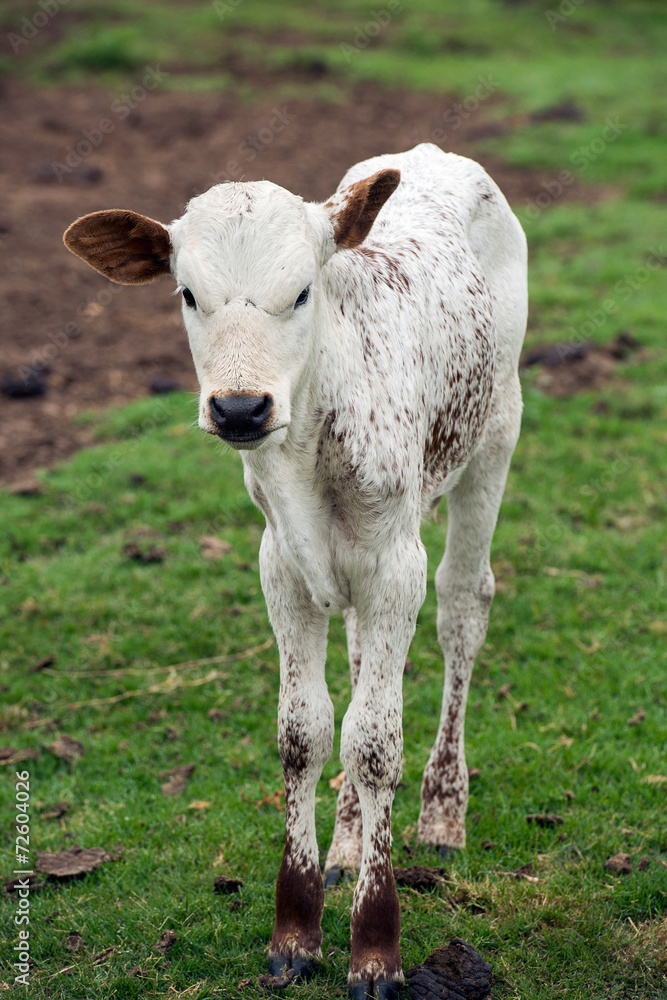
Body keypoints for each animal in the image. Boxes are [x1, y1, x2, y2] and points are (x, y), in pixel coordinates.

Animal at [64, 142, 528, 999]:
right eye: (187, 293)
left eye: (303, 290)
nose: (240, 408)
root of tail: (431, 155)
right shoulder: (281, 565)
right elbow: (304, 733)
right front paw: (296, 930)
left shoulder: (394, 564)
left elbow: (374, 742)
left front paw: (375, 947)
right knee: (359, 662)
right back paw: (346, 843)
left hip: (494, 433)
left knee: (462, 607)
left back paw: (442, 813)